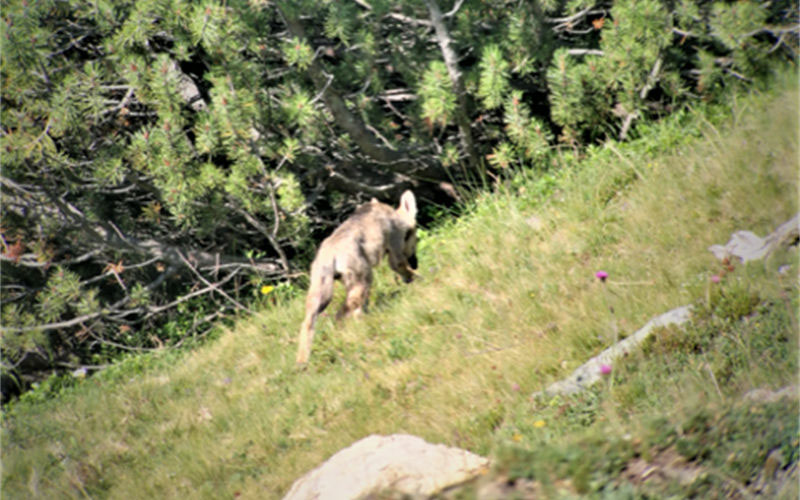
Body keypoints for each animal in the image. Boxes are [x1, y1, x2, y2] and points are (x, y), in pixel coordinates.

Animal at [296, 190, 419, 366]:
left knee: (308, 322)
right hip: (363, 279)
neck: (395, 217)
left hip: (322, 291)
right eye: (416, 237)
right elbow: (404, 269)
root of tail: (330, 254)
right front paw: (419, 279)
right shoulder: (395, 253)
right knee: (340, 314)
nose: (416, 264)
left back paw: (302, 362)